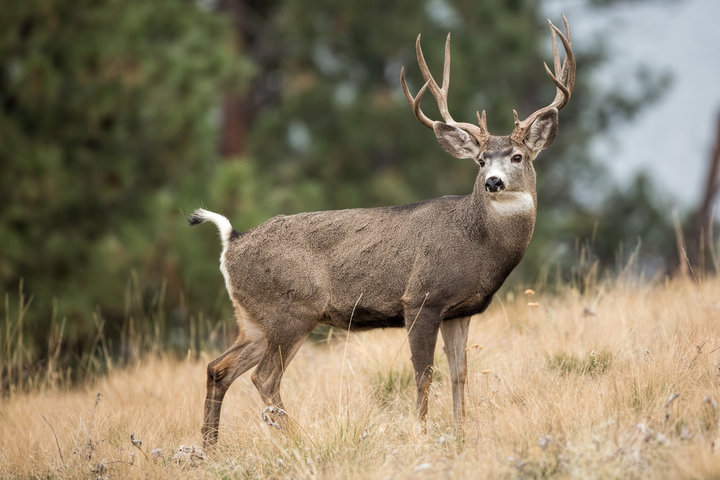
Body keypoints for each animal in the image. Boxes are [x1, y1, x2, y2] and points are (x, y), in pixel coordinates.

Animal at [189, 16, 575, 446]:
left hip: (253, 319)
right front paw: (421, 432)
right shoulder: (421, 297)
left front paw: (460, 433)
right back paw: (300, 439)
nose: (493, 181)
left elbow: (459, 374)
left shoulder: (461, 310)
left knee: (218, 368)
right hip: (291, 310)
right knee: (264, 377)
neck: (476, 242)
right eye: (480, 160)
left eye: (517, 156)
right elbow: (423, 373)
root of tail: (231, 241)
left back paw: (209, 447)